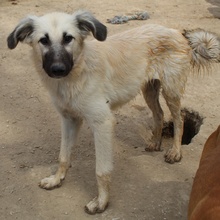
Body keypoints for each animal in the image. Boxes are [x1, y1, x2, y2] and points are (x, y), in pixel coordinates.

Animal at [6, 11, 220, 214]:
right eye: (43, 40)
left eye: (68, 38)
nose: (58, 69)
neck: (77, 73)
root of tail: (178, 32)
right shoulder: (69, 120)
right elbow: (63, 156)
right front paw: (56, 179)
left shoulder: (102, 122)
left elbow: (101, 170)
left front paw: (101, 202)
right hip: (149, 88)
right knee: (159, 114)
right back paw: (155, 142)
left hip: (171, 90)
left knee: (179, 119)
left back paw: (175, 151)